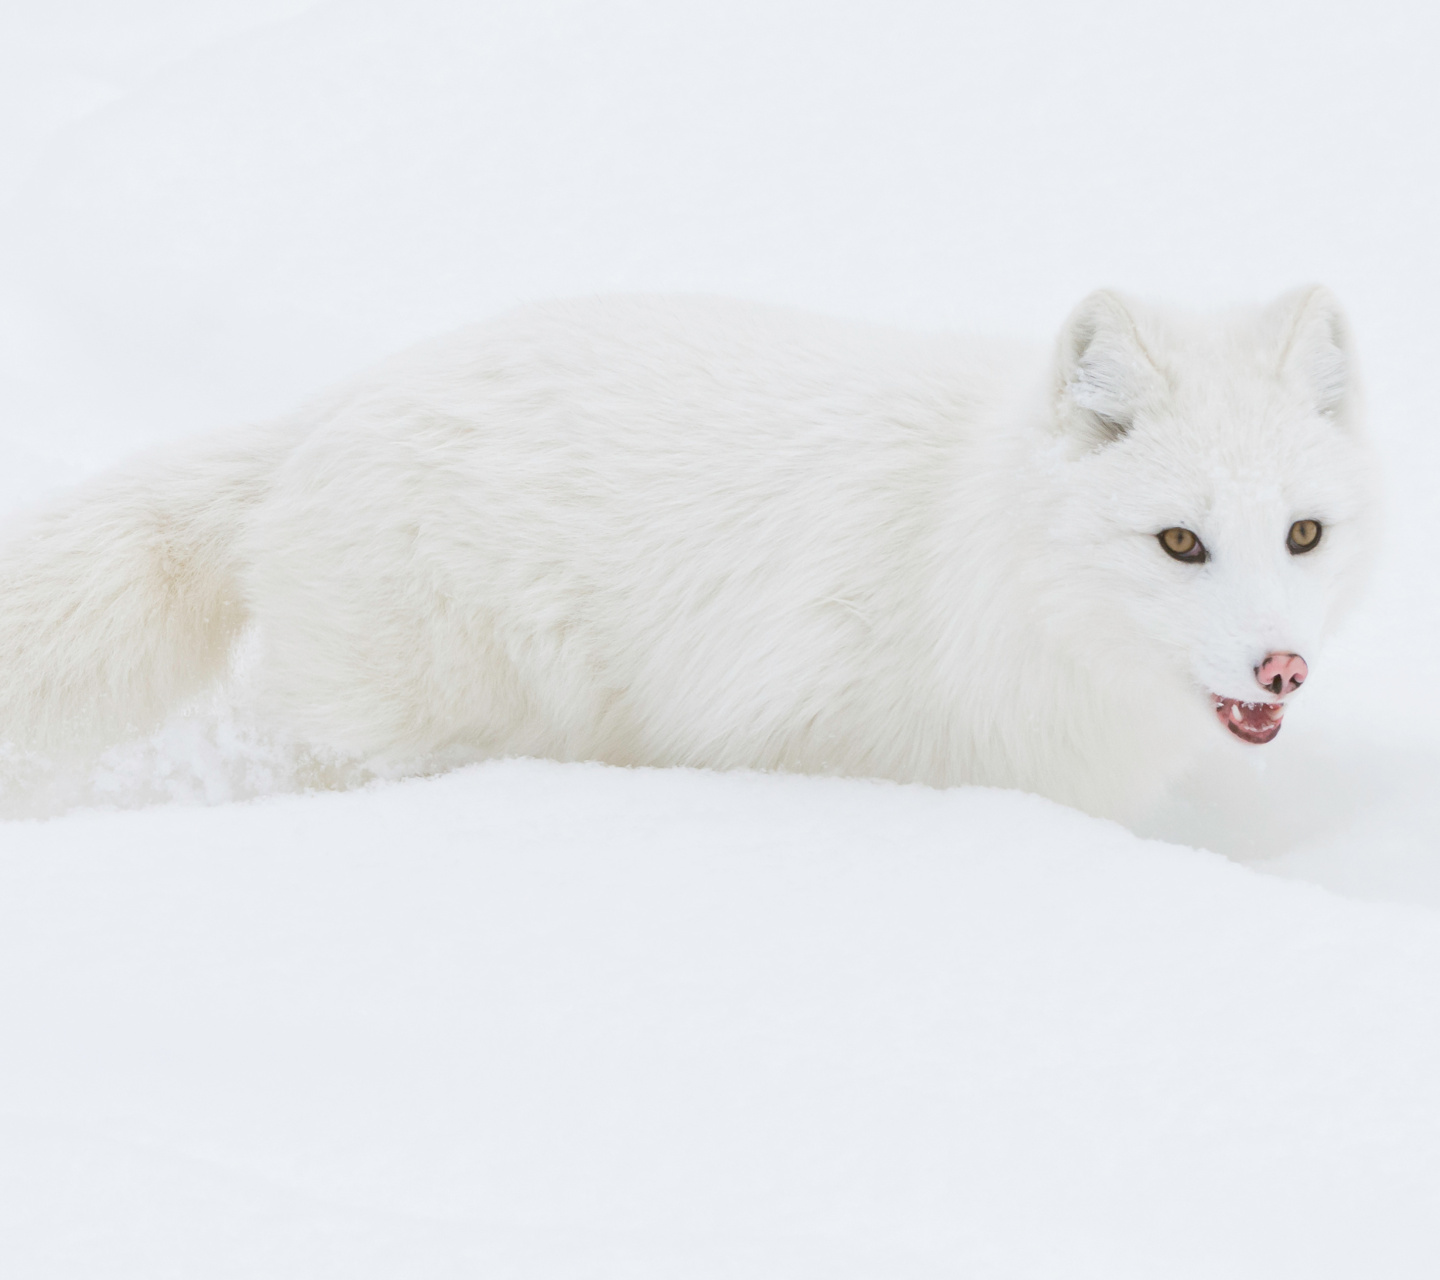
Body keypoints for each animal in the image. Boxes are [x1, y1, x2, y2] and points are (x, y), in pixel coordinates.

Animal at [0, 289, 1382, 817]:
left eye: (1304, 533)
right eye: (1180, 540)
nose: (1283, 668)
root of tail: (323, 413)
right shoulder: (790, 729)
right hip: (413, 723)